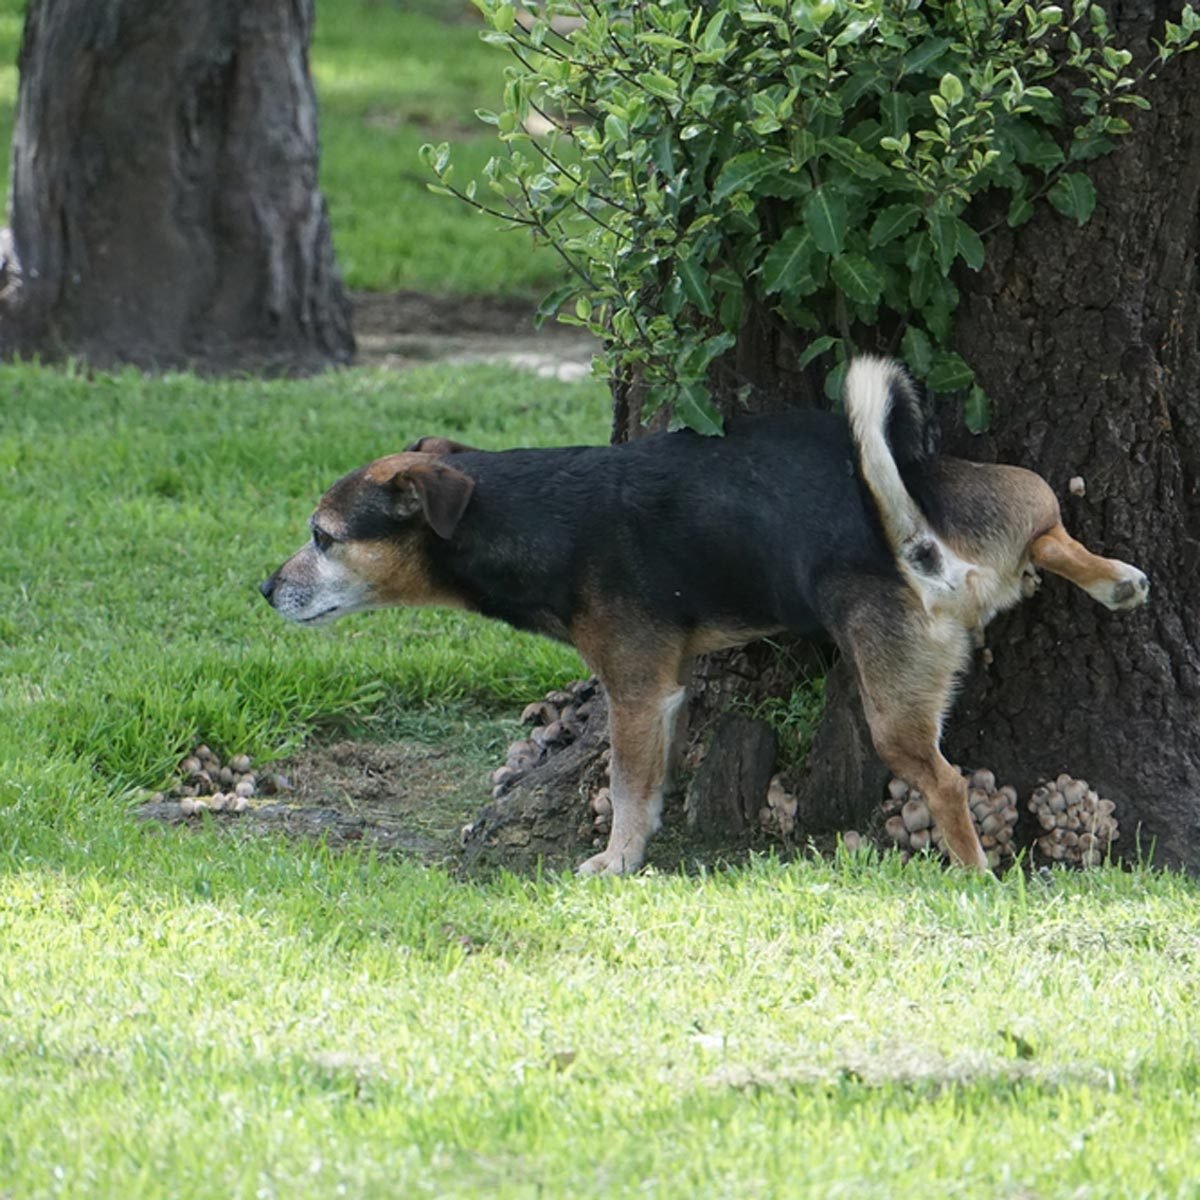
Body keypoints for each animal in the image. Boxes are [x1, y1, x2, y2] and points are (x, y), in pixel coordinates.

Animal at [265, 355, 1152, 873]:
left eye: (323, 537)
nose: (267, 590)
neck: (525, 511)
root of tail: (925, 550)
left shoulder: (632, 691)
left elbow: (626, 787)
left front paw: (615, 862)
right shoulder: (670, 687)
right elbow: (652, 782)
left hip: (894, 706)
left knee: (944, 781)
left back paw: (972, 873)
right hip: (996, 493)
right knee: (1046, 524)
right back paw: (1116, 580)